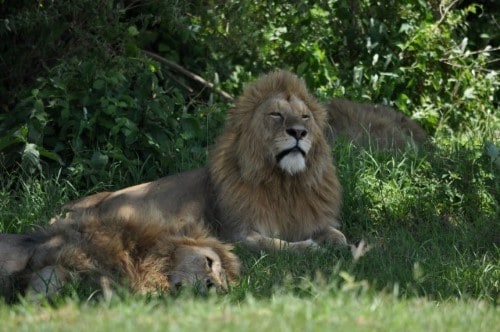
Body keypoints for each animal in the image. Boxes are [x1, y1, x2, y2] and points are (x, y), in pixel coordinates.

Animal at [52, 69, 346, 252]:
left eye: (305, 117)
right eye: (276, 114)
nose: (299, 132)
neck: (285, 184)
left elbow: (338, 236)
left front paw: (339, 246)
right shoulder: (236, 234)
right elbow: (273, 244)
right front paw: (308, 247)